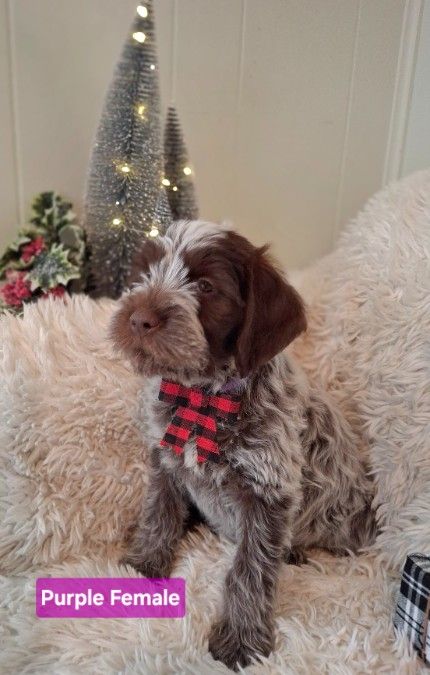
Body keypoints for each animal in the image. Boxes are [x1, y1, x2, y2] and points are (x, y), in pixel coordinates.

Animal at [111, 220, 376, 672]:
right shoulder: (167, 462)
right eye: (144, 273)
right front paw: (142, 565)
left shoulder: (268, 495)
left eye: (205, 286)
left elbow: (248, 572)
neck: (202, 398)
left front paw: (241, 640)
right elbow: (158, 514)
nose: (139, 319)